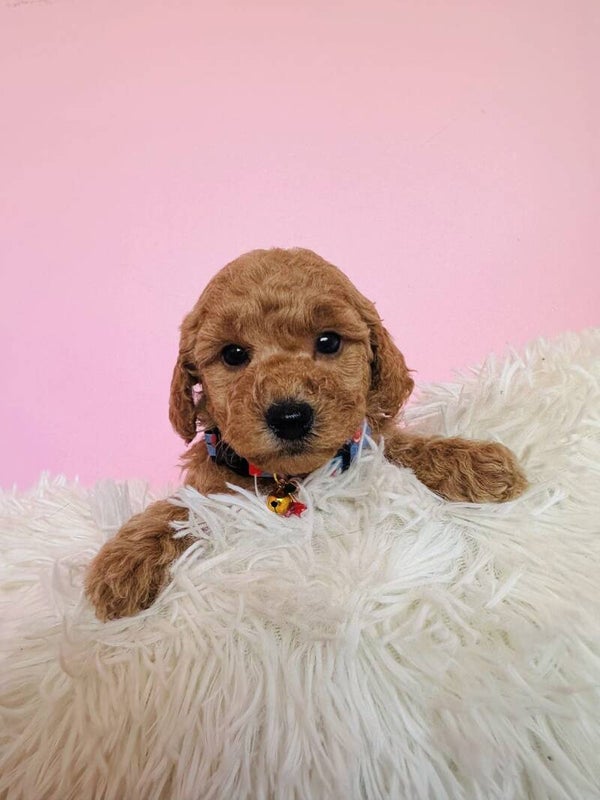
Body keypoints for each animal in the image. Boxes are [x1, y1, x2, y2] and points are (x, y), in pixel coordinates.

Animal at [86, 247, 527, 621]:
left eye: (329, 341)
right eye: (233, 354)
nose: (290, 416)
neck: (290, 478)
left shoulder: (364, 442)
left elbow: (405, 446)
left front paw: (480, 465)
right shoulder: (214, 485)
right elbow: (179, 509)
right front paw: (122, 565)